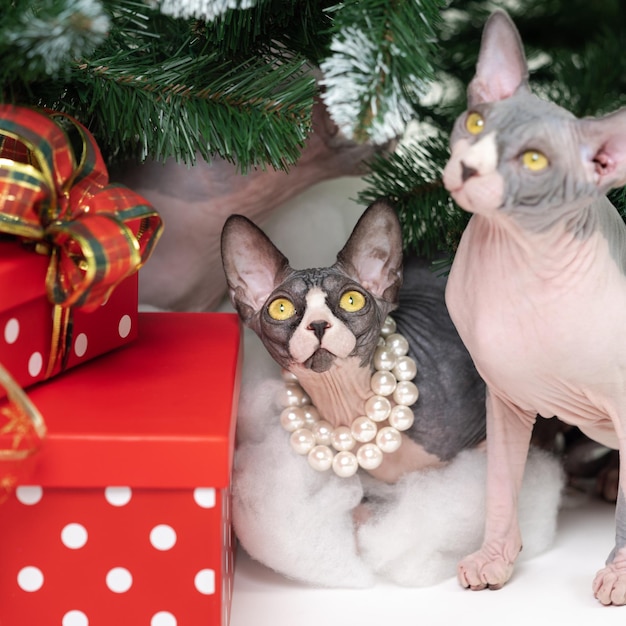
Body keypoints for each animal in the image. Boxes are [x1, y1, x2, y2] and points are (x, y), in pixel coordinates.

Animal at [442, 9, 624, 604]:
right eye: (476, 124)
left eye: (534, 160)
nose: (470, 168)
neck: (518, 262)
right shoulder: (504, 397)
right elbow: (502, 485)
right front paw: (495, 558)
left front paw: (618, 574)